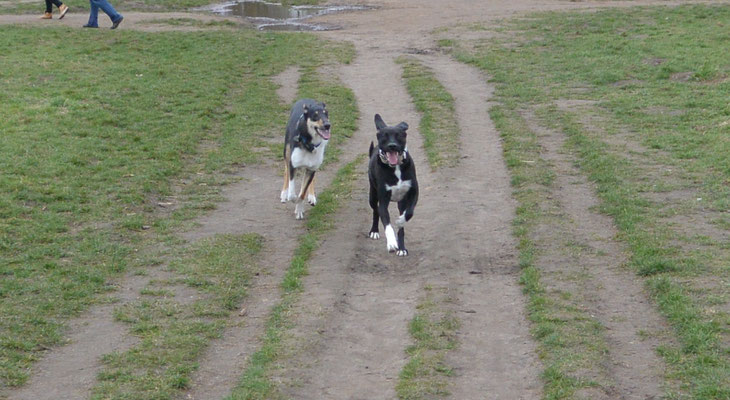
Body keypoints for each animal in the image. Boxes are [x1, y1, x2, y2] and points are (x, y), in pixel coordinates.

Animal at [366, 114, 418, 256]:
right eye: (384, 136)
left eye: (399, 135)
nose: (392, 146)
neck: (396, 168)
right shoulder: (383, 200)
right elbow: (386, 221)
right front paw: (391, 243)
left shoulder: (413, 192)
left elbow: (409, 213)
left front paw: (400, 222)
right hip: (373, 195)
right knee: (375, 211)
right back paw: (374, 231)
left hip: (401, 202)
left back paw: (401, 248)